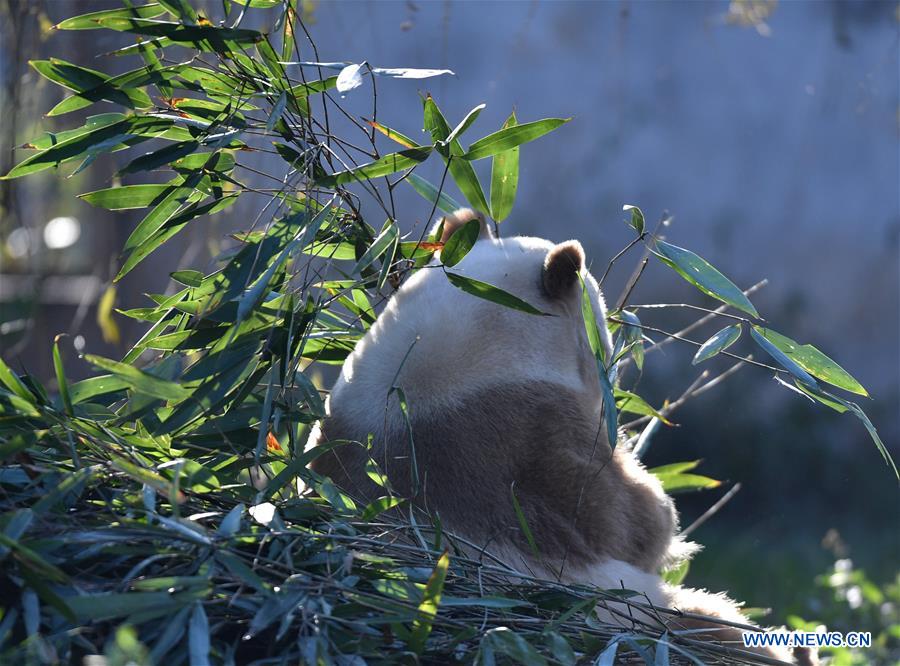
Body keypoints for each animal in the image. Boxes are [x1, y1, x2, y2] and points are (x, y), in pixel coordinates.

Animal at [310, 208, 816, 665]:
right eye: (604, 342)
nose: (616, 390)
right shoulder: (537, 436)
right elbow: (630, 521)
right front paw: (656, 513)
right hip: (626, 612)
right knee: (713, 628)